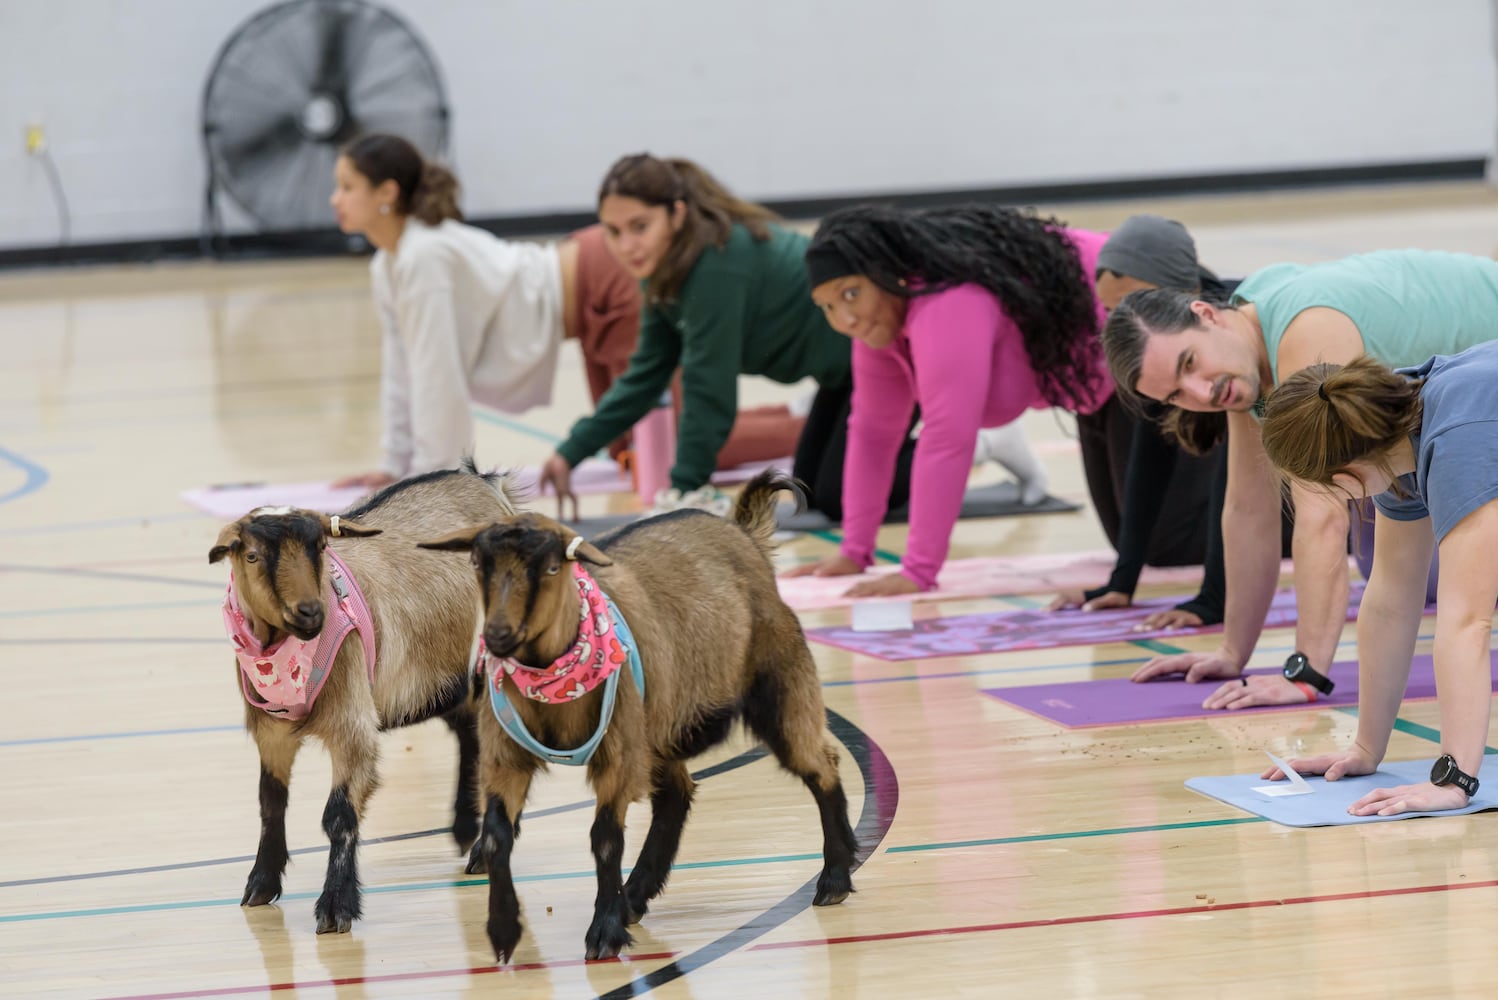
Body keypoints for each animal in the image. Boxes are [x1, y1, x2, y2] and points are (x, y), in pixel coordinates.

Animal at [206, 464, 521, 934]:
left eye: (321, 547)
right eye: (252, 556)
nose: (310, 612)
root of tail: (483, 478)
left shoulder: (352, 726)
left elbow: (338, 814)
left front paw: (336, 905)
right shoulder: (272, 732)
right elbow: (270, 803)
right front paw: (261, 884)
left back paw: (485, 850)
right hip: (445, 677)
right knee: (469, 734)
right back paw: (465, 828)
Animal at [419, 473, 856, 964]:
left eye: (551, 568)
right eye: (478, 563)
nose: (497, 635)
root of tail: (743, 532)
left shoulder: (618, 752)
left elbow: (605, 837)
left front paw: (604, 932)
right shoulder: (506, 755)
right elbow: (496, 836)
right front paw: (503, 930)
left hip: (779, 686)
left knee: (820, 765)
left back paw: (835, 877)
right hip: (659, 724)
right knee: (677, 795)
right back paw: (635, 896)